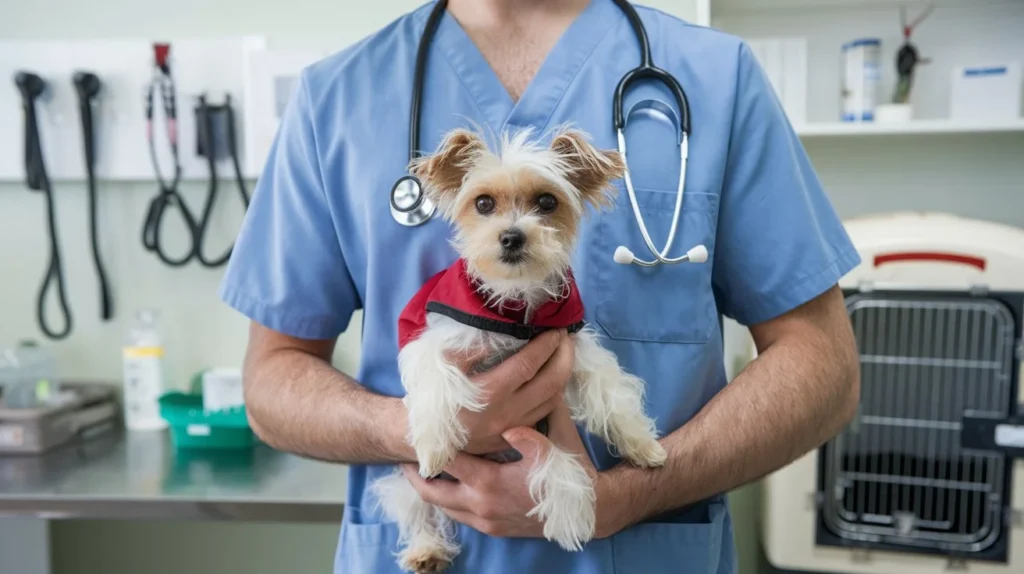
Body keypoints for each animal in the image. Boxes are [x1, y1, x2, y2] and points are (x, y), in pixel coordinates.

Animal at [372, 126, 667, 572]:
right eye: (483, 203)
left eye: (547, 201)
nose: (512, 236)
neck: (516, 305)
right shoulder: (434, 337)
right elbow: (435, 376)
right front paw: (434, 444)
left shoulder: (573, 347)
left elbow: (608, 394)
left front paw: (640, 445)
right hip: (410, 485)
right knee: (416, 504)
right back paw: (426, 548)